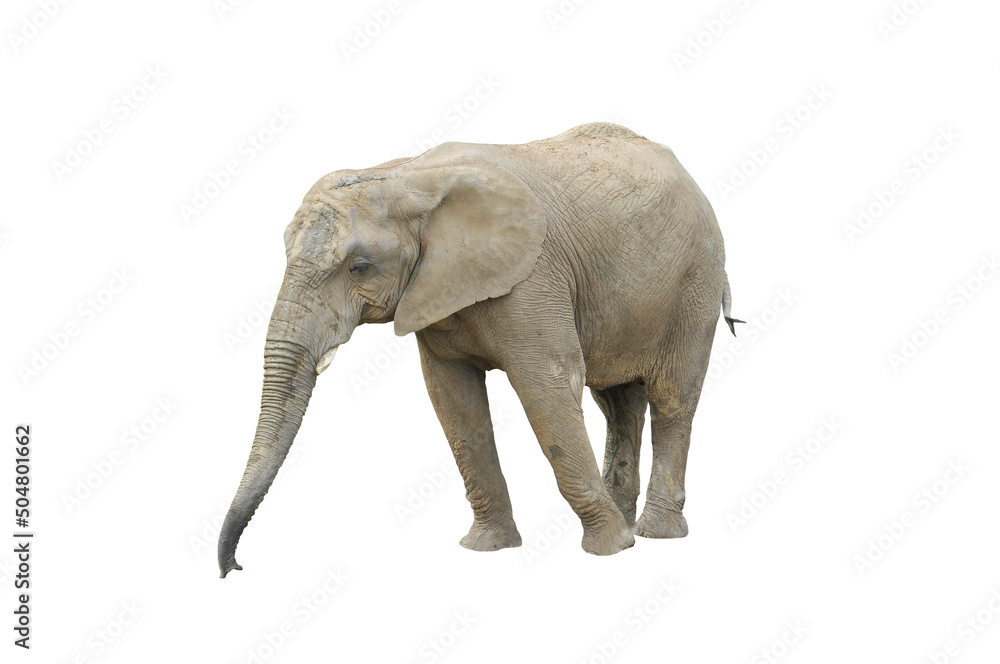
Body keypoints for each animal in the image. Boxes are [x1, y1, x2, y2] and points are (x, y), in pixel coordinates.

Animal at [218, 122, 742, 577]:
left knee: (672, 398)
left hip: (695, 281)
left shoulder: (533, 275)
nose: (235, 568)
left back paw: (654, 535)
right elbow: (454, 402)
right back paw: (631, 521)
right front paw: (487, 548)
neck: (407, 175)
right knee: (617, 401)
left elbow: (547, 386)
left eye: (360, 267)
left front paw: (611, 550)